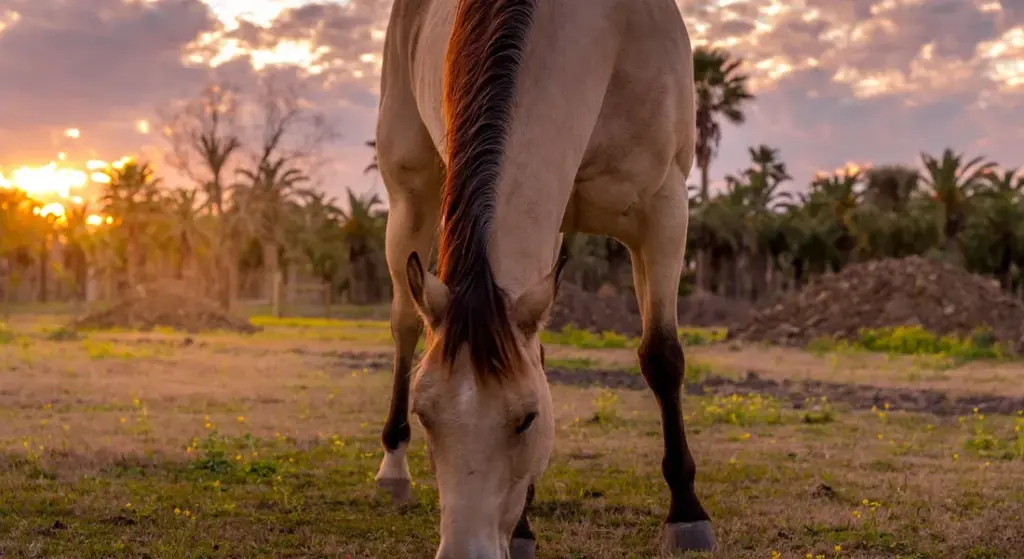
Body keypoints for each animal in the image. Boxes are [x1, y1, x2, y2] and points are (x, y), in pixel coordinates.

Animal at [373, 0, 713, 556]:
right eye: (426, 416)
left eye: (528, 417)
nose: (467, 549)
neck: (604, 35)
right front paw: (524, 528)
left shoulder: (664, 210)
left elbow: (662, 356)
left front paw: (687, 513)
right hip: (410, 198)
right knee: (404, 323)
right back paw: (393, 468)